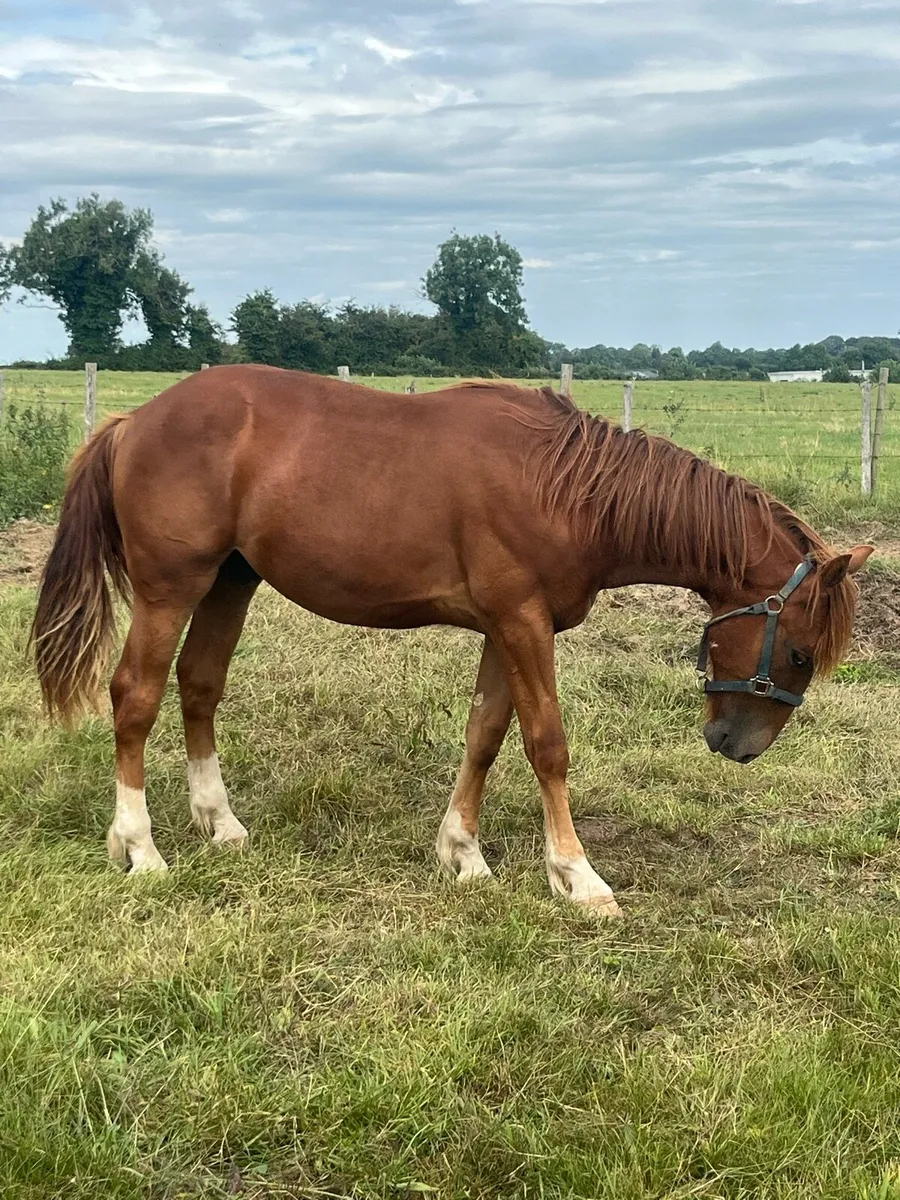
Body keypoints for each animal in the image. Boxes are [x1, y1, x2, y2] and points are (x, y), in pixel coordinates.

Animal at [30, 367, 872, 917]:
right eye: (800, 654)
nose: (738, 746)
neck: (569, 491)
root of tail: (133, 421)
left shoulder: (508, 628)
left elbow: (485, 737)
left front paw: (463, 854)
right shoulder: (522, 622)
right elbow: (547, 743)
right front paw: (576, 875)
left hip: (230, 582)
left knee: (200, 686)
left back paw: (221, 824)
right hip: (170, 587)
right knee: (135, 696)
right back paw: (139, 848)